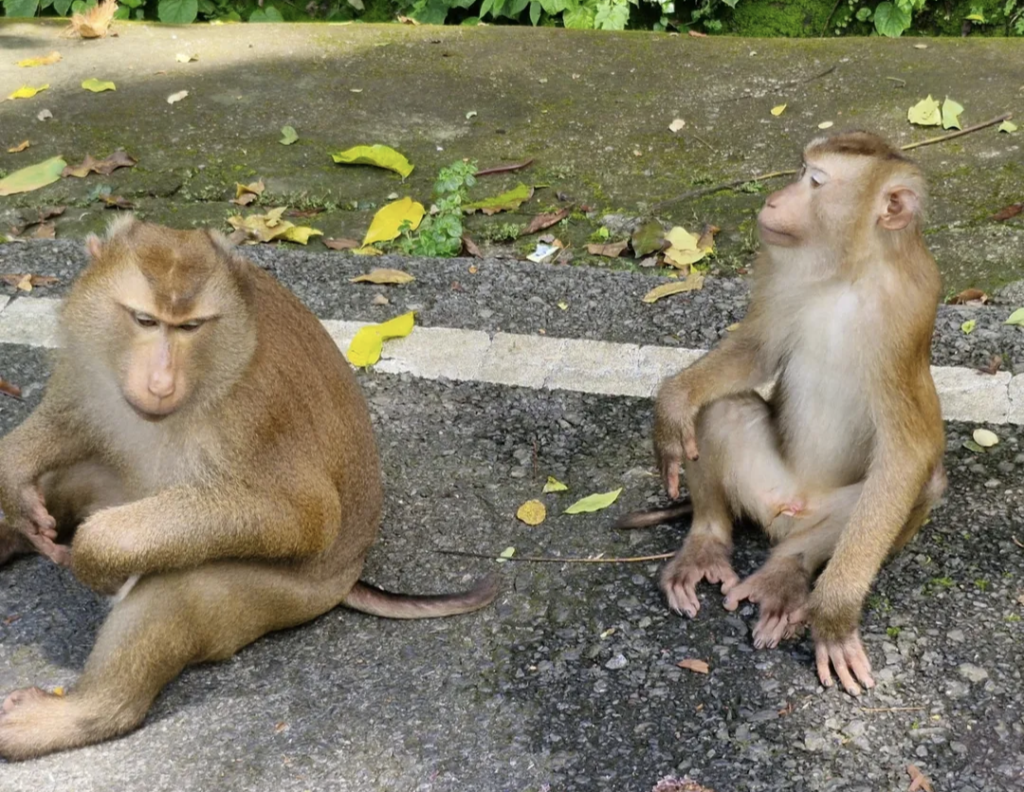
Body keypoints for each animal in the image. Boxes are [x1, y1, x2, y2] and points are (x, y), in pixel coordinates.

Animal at [0, 217, 498, 760]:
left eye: (191, 327)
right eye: (146, 321)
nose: (160, 384)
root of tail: (351, 575)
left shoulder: (251, 414)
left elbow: (304, 516)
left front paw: (95, 553)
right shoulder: (86, 358)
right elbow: (69, 421)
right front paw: (15, 484)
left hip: (287, 595)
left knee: (179, 588)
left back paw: (83, 713)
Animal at [650, 131, 946, 696]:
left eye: (816, 182)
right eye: (801, 171)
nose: (772, 201)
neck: (849, 274)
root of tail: (789, 509)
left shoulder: (909, 309)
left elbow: (909, 450)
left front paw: (833, 616)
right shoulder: (777, 270)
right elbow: (757, 351)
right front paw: (671, 404)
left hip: (824, 517)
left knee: (921, 483)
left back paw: (787, 573)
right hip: (762, 484)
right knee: (720, 410)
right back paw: (706, 541)